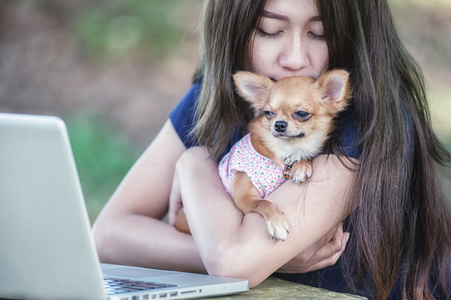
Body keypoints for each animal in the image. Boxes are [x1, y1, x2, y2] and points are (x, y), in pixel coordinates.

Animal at [175, 70, 352, 241]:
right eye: (268, 113)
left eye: (301, 114)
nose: (279, 124)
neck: (285, 151)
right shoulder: (243, 198)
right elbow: (264, 203)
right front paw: (277, 223)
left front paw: (301, 167)